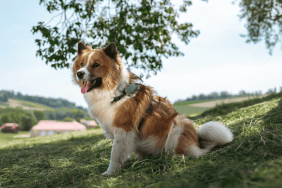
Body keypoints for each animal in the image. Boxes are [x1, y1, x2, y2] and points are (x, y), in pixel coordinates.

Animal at [71, 41, 234, 176]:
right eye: (82, 64)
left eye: (96, 65)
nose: (80, 73)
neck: (115, 93)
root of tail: (197, 141)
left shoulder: (123, 129)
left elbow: (115, 154)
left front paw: (110, 173)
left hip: (179, 123)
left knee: (188, 152)